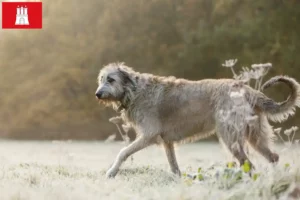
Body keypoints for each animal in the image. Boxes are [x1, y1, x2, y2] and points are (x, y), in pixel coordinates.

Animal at [95, 62, 300, 178]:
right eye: (101, 79)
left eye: (111, 79)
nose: (97, 94)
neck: (134, 90)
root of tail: (246, 89)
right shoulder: (167, 141)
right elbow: (173, 165)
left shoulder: (148, 135)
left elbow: (123, 152)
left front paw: (111, 172)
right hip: (255, 136)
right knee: (273, 157)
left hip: (231, 138)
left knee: (248, 164)